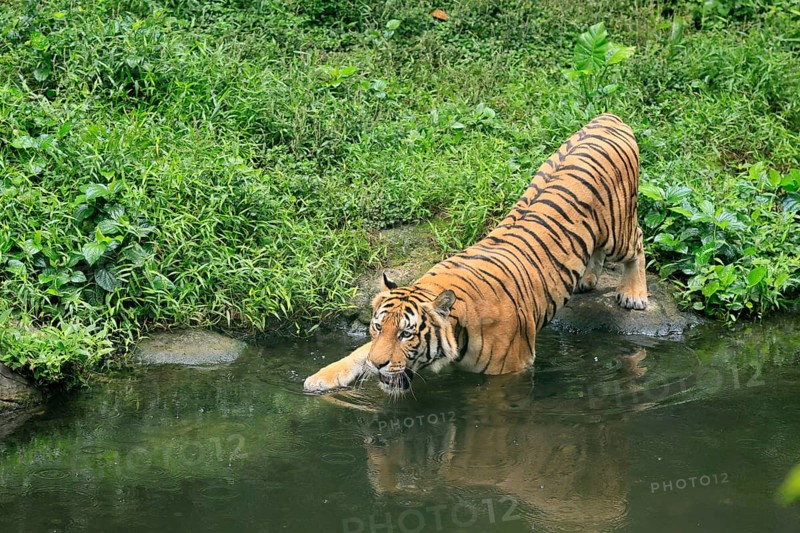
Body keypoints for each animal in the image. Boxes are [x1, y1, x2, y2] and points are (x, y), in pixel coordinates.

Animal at [304, 113, 648, 395]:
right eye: (377, 327)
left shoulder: (510, 371)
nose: (378, 366)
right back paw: (587, 278)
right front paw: (320, 378)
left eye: (406, 334)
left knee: (639, 242)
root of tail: (608, 118)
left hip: (618, 229)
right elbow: (357, 353)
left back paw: (633, 294)